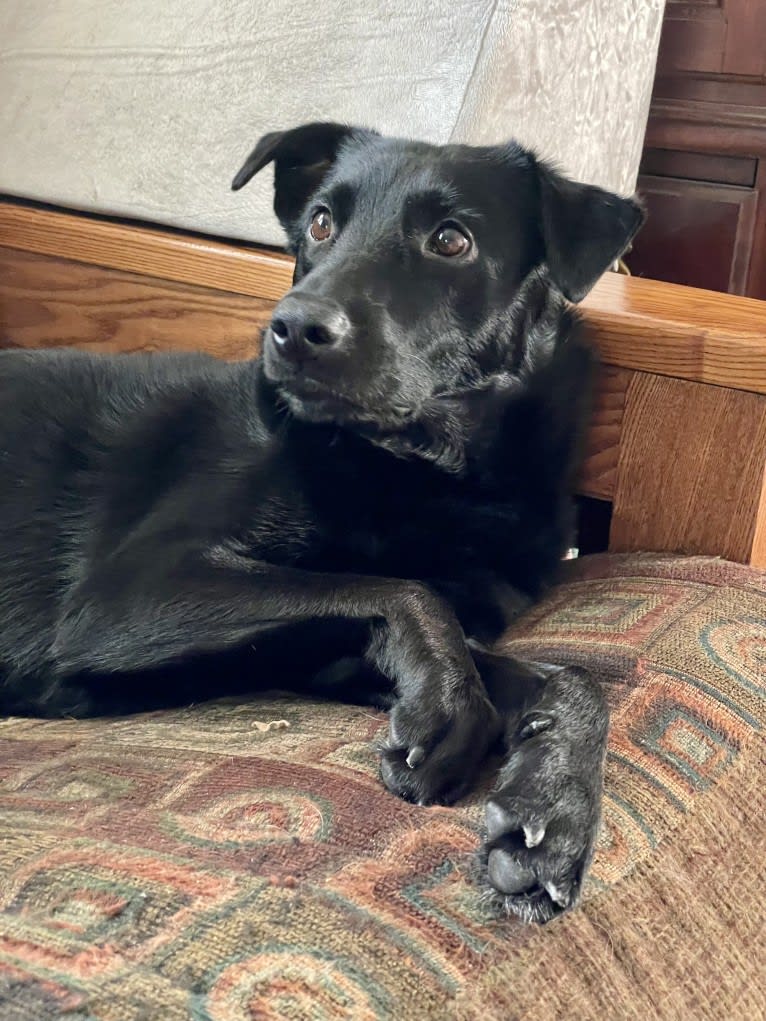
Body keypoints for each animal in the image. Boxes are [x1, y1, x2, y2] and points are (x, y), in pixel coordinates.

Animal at [0, 121, 645, 927]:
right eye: (319, 224)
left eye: (451, 240)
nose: (293, 327)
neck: (419, 471)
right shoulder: (125, 593)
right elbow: (402, 591)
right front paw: (451, 707)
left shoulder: (327, 653)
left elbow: (577, 676)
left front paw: (552, 811)